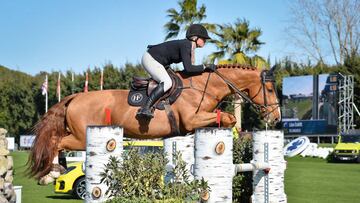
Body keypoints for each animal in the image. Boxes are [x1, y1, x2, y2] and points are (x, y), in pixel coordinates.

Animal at [28, 64, 282, 185]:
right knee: (56, 141)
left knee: (57, 141)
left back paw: (56, 170)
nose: (276, 118)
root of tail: (74, 98)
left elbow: (226, 119)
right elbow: (228, 118)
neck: (203, 87)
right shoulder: (192, 119)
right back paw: (51, 174)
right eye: (270, 89)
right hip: (81, 137)